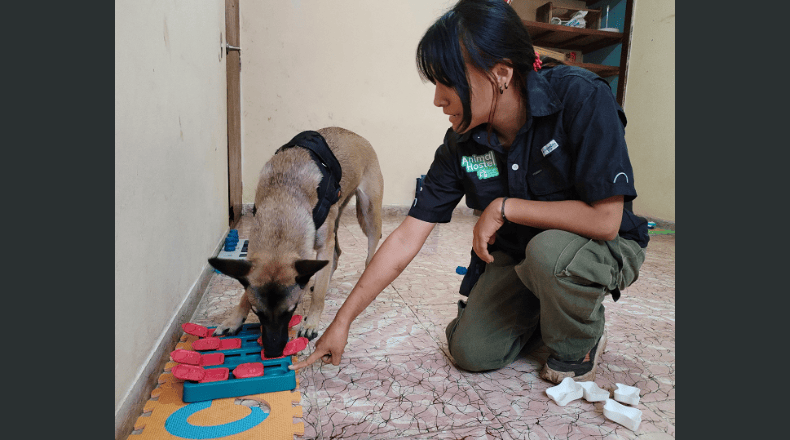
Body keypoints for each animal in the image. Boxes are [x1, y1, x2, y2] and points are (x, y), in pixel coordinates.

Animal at [209, 125, 386, 360]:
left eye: (291, 311)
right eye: (258, 313)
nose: (273, 352)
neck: (283, 203)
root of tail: (357, 136)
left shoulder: (323, 245)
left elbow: (319, 295)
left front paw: (311, 323)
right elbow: (246, 292)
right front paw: (234, 319)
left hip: (368, 213)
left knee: (371, 249)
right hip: (338, 219)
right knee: (337, 253)